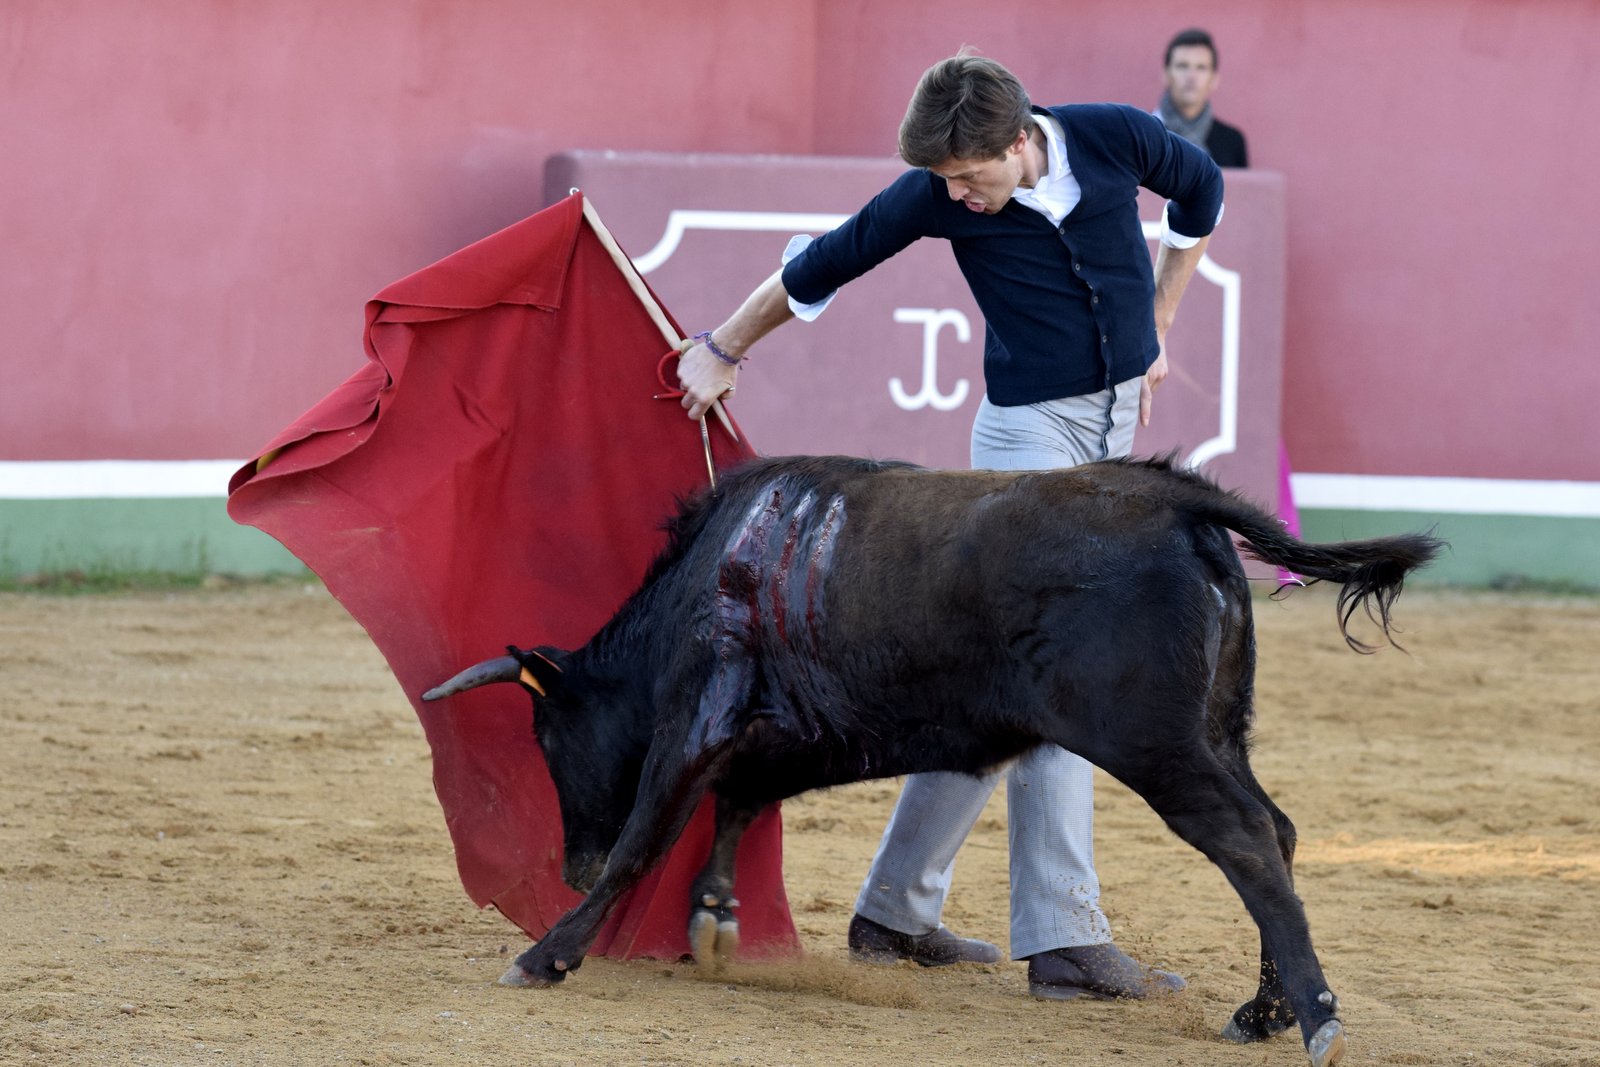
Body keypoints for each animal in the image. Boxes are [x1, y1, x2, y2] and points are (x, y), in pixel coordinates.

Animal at [422, 454, 1440, 1067]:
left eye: (547, 737)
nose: (568, 864)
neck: (714, 572)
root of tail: (1168, 494)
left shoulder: (699, 713)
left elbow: (650, 832)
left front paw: (548, 953)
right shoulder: (782, 727)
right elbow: (741, 801)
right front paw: (713, 916)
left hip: (1157, 744)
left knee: (1247, 840)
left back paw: (1317, 1016)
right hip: (1218, 728)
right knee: (1279, 830)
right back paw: (1263, 1013)